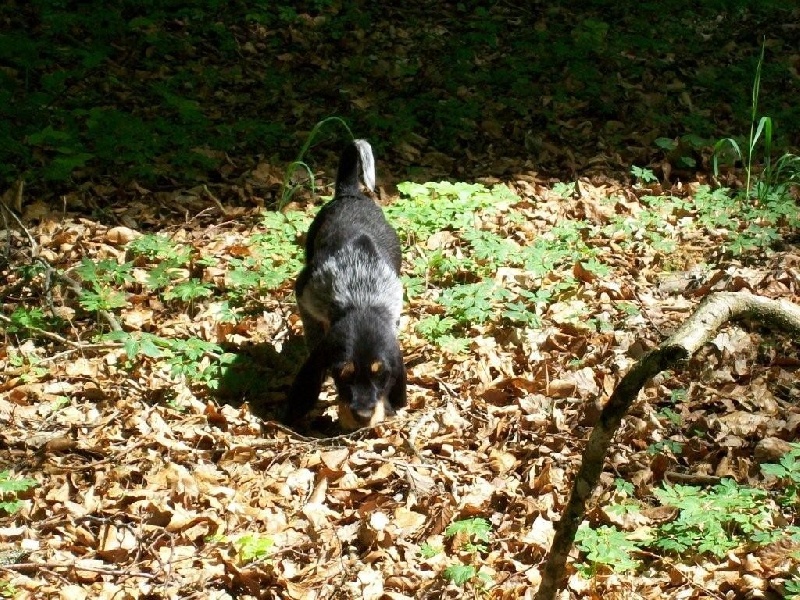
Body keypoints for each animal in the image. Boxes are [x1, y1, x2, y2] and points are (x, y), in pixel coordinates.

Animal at [282, 139, 406, 426]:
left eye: (382, 375)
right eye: (343, 374)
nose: (363, 416)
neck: (361, 298)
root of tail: (349, 193)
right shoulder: (304, 295)